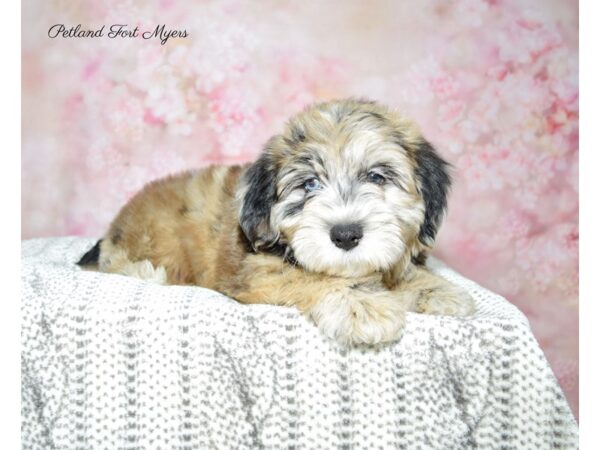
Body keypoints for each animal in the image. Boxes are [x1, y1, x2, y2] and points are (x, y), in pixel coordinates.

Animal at [78, 97, 474, 344]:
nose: (345, 235)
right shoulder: (259, 274)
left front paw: (435, 289)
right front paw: (362, 306)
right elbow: (312, 279)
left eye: (377, 177)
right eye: (309, 184)